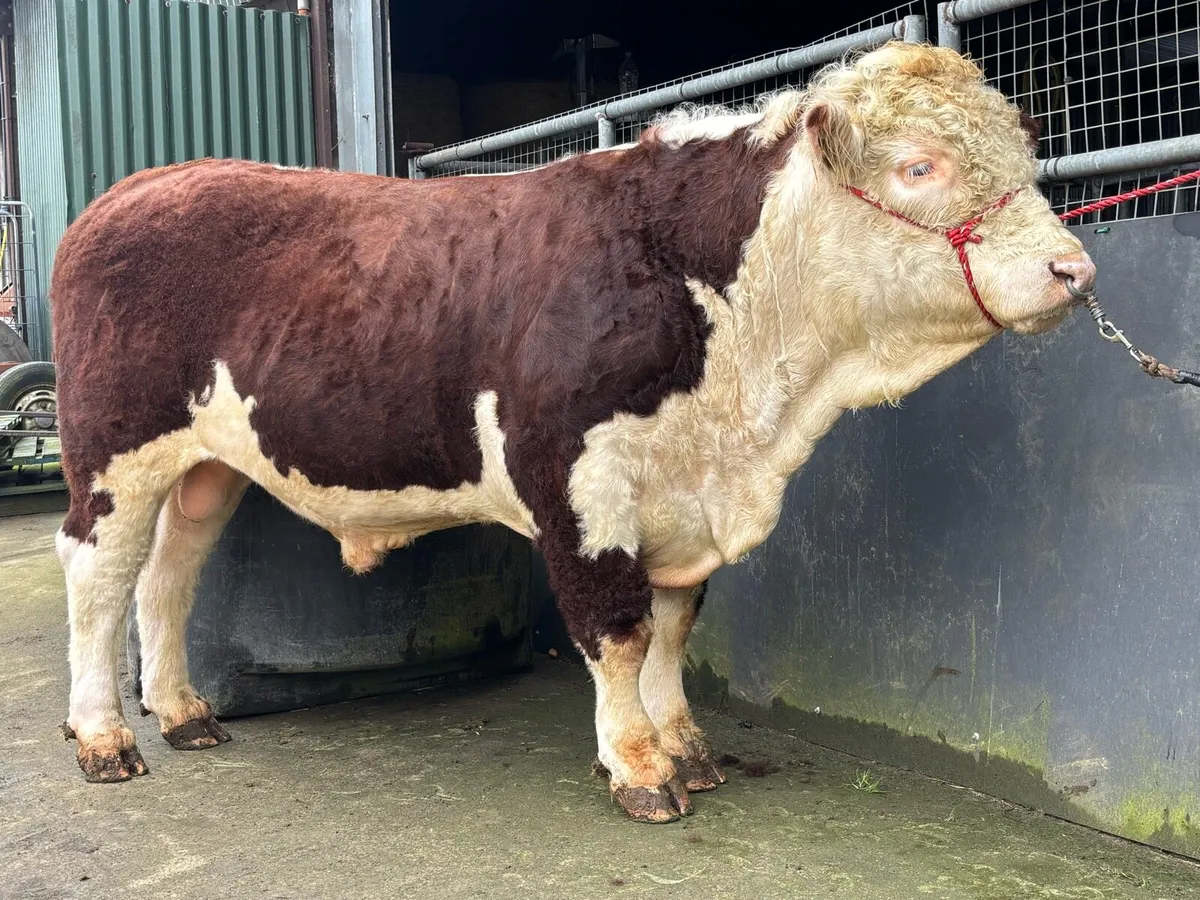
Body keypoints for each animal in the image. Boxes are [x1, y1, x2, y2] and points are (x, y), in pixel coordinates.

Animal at [50, 42, 1094, 823]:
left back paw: (182, 711)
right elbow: (619, 633)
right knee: (100, 576)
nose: (1074, 269)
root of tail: (132, 189)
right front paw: (637, 767)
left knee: (169, 575)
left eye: (1025, 157)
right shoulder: (579, 483)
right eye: (919, 166)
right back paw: (104, 736)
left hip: (205, 465)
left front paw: (685, 745)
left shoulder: (678, 494)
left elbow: (674, 627)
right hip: (114, 453)